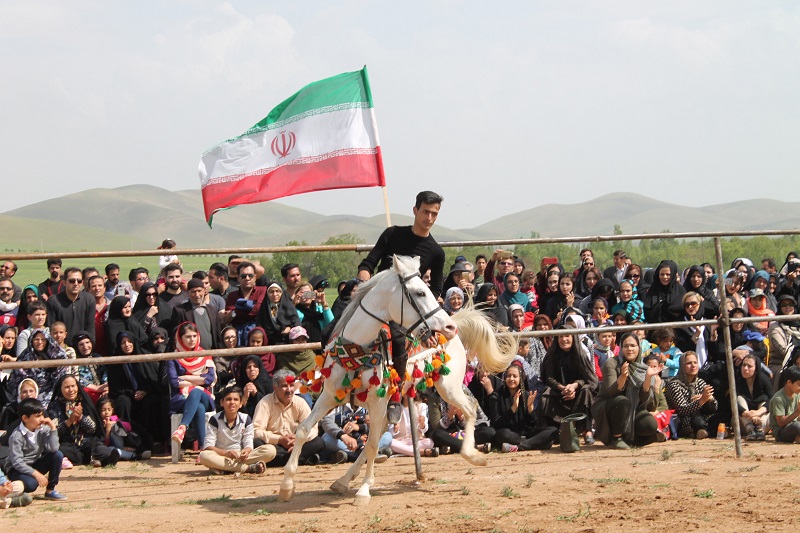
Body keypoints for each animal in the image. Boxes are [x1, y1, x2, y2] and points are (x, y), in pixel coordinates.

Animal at [280, 256, 520, 504]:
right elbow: (304, 430)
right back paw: (343, 481)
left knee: (470, 408)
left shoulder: (377, 402)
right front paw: (287, 486)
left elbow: (372, 445)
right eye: (420, 293)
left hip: (448, 388)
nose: (448, 327)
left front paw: (364, 490)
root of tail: (457, 325)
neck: (359, 349)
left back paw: (473, 455)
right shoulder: (330, 396)